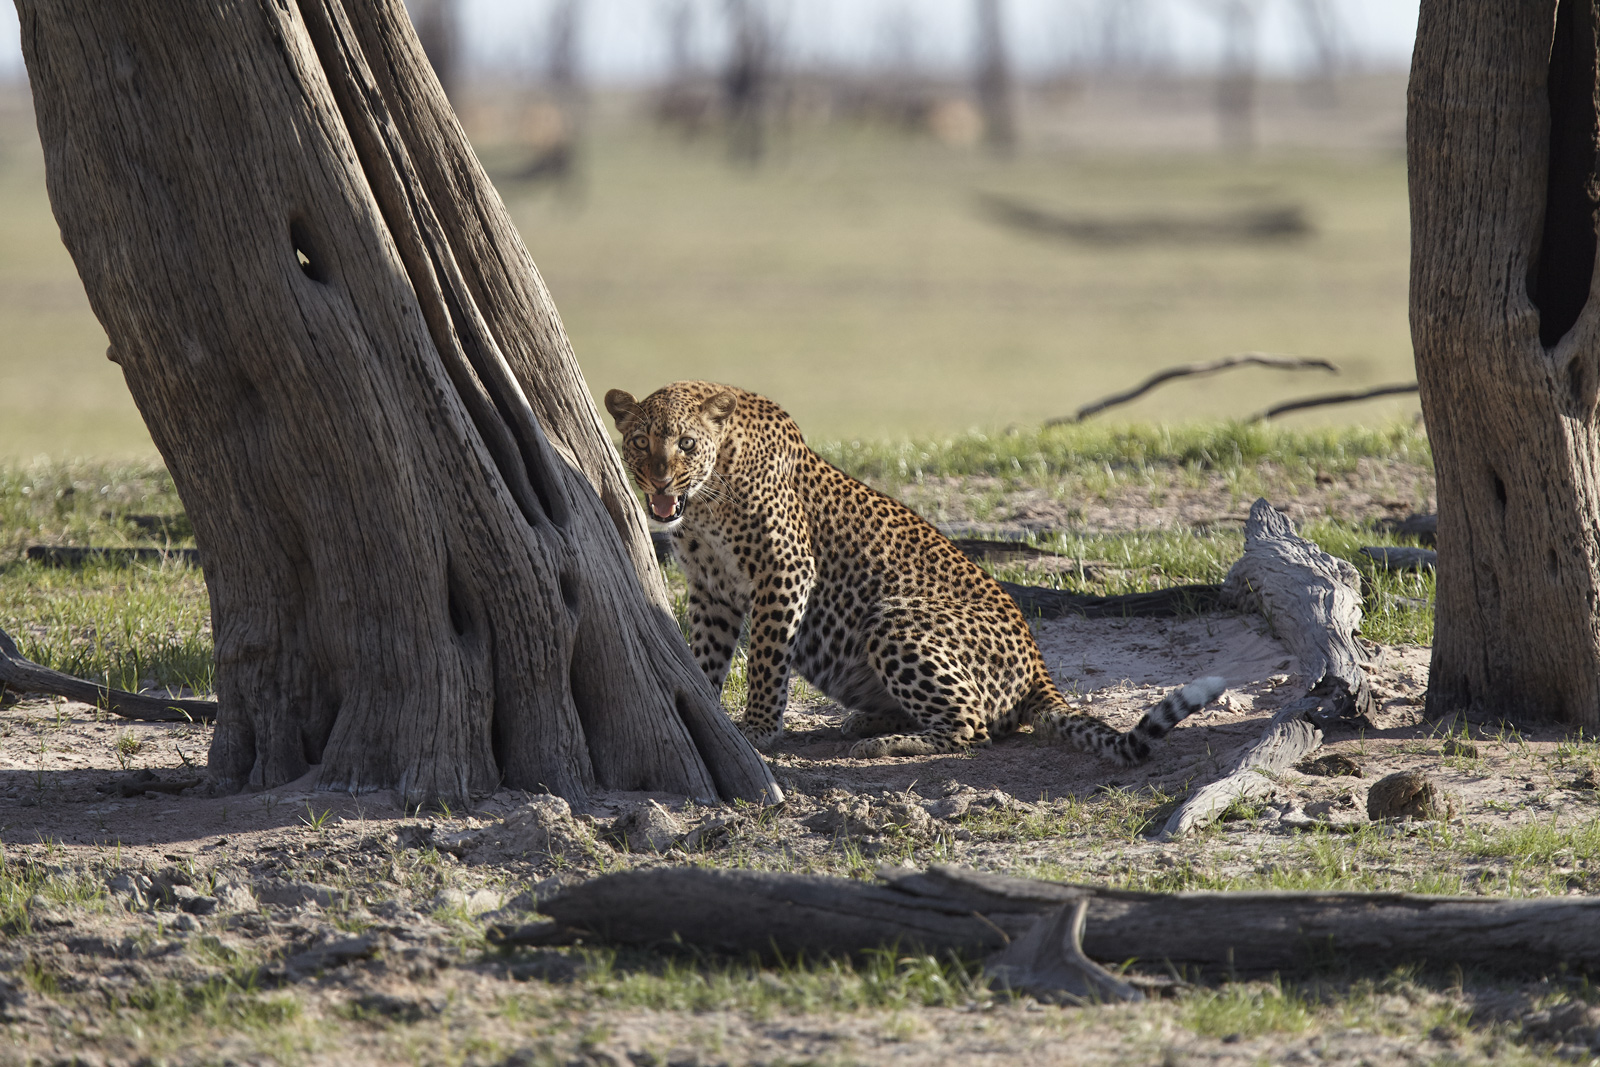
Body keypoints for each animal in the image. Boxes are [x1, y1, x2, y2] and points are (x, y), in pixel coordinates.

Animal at [605, 380, 1225, 762]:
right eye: (638, 442)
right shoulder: (712, 588)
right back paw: (869, 724)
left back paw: (886, 744)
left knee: (974, 728)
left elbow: (765, 659)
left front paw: (756, 729)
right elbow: (706, 656)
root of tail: (1040, 669)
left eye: (687, 443)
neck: (707, 496)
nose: (659, 480)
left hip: (894, 619)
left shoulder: (785, 570)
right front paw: (705, 712)